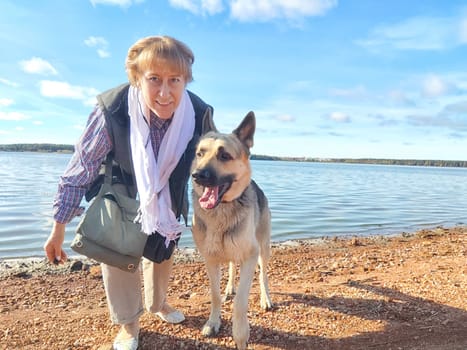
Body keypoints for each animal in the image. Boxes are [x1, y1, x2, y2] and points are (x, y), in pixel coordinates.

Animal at [191, 110, 272, 350]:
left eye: (225, 156)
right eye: (200, 153)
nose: (197, 175)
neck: (221, 210)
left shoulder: (250, 257)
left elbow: (240, 303)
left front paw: (240, 335)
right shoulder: (210, 259)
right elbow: (215, 295)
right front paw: (213, 322)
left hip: (263, 248)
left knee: (263, 275)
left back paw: (266, 298)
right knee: (231, 266)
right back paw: (229, 287)